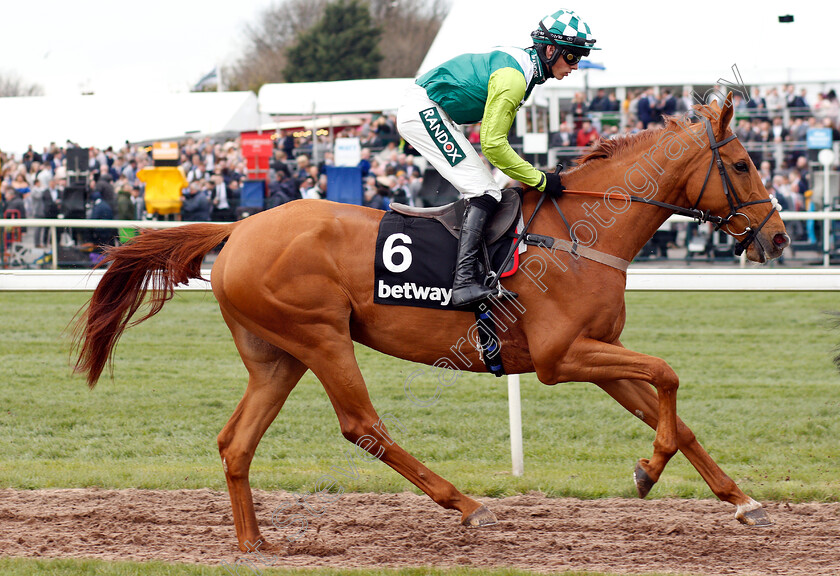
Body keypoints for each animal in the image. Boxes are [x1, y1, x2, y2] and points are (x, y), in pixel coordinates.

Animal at [72, 97, 788, 552]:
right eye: (744, 164)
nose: (779, 238)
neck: (583, 234)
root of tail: (239, 228)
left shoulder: (598, 351)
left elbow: (673, 410)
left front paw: (740, 500)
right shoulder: (561, 358)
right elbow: (669, 374)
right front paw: (647, 471)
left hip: (278, 356)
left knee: (235, 443)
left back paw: (254, 542)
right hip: (320, 336)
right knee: (362, 426)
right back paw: (467, 505)